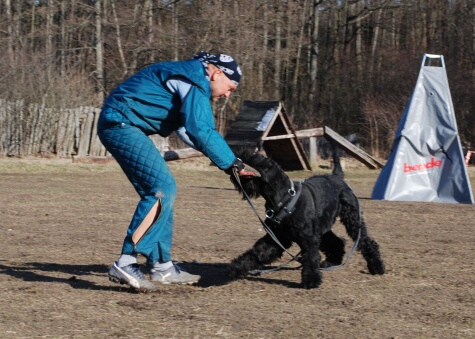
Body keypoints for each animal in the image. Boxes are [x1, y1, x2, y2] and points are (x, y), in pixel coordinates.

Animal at [228, 149, 386, 290]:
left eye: (253, 157)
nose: (236, 160)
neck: (284, 199)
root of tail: (338, 177)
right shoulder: (276, 238)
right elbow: (256, 253)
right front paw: (235, 268)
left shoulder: (307, 238)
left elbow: (310, 257)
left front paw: (311, 280)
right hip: (323, 228)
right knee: (337, 242)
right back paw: (331, 262)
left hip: (352, 220)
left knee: (366, 241)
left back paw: (377, 266)